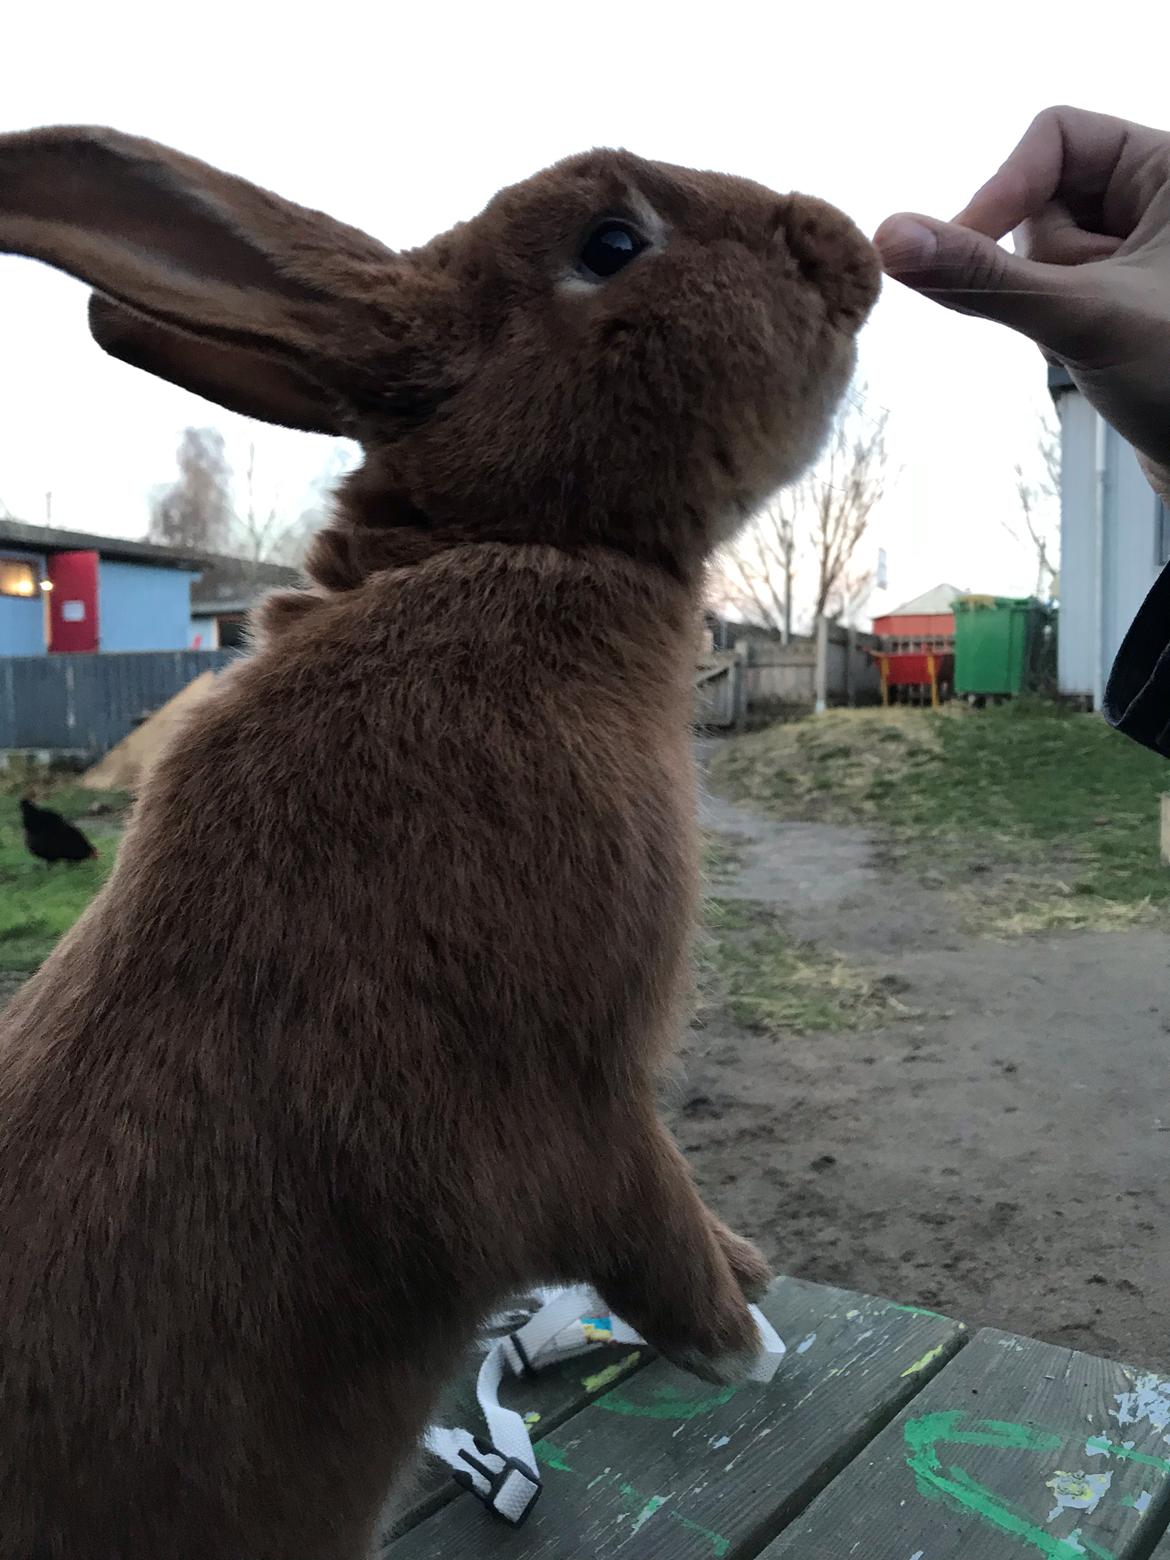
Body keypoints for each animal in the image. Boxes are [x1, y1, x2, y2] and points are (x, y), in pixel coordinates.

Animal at [0, 127, 879, 1553]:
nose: (847, 249)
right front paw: (744, 1339)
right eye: (612, 244)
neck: (526, 537)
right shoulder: (564, 1093)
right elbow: (646, 1220)